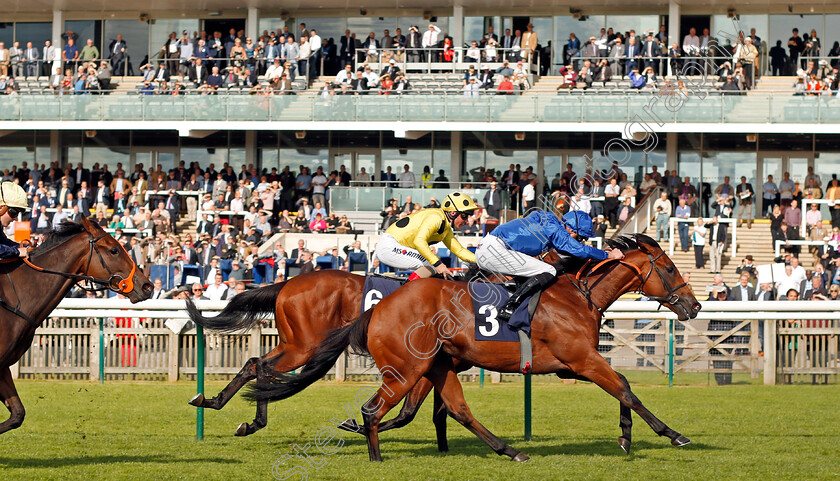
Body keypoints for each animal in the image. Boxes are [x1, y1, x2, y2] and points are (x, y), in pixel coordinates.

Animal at [248, 234, 704, 460]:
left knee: (457, 409)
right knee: (371, 407)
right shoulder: (582, 359)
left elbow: (622, 387)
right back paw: (374, 455)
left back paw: (510, 451)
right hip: (399, 366)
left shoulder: (574, 364)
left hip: (429, 365)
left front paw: (626, 438)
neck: (577, 295)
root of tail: (378, 310)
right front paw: (672, 434)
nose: (695, 305)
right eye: (668, 268)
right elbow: (626, 387)